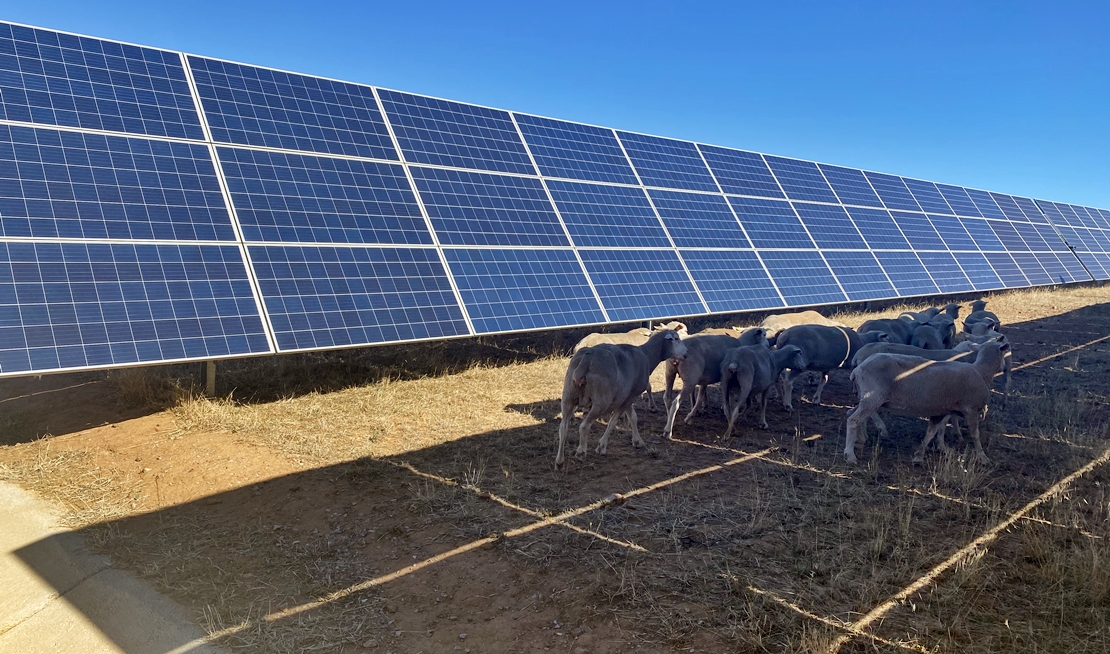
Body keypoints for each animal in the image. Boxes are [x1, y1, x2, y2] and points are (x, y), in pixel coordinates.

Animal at [559, 328, 688, 466]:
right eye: (677, 339)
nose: (686, 353)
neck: (647, 355)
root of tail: (586, 360)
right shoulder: (630, 396)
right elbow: (613, 421)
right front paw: (601, 446)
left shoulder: (628, 395)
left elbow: (633, 417)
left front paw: (637, 441)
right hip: (601, 401)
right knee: (584, 426)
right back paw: (580, 453)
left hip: (568, 395)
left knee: (563, 427)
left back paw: (559, 461)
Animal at [843, 337, 1012, 464]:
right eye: (1004, 355)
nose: (1005, 368)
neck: (981, 371)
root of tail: (858, 368)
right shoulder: (971, 409)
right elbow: (974, 434)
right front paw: (983, 457)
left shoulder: (943, 409)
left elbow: (932, 431)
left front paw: (921, 454)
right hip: (874, 396)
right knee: (853, 419)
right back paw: (850, 455)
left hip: (868, 397)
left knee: (853, 414)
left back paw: (860, 440)